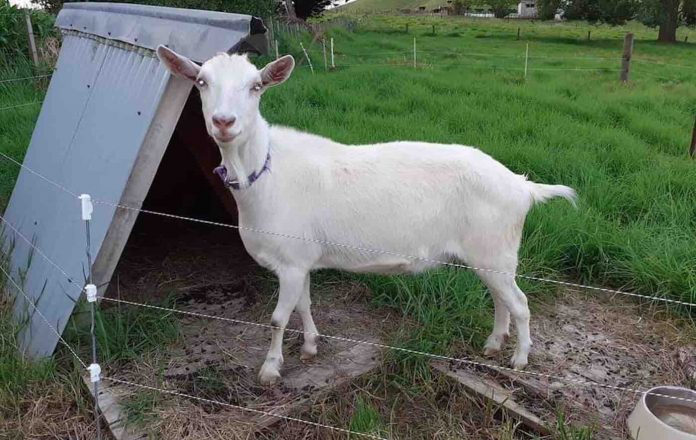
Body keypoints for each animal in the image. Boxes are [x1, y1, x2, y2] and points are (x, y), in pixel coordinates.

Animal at [156, 46, 577, 385]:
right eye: (200, 82)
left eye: (256, 86)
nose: (223, 122)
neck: (265, 173)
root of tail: (521, 186)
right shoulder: (300, 259)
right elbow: (304, 305)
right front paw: (310, 347)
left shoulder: (290, 262)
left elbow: (278, 317)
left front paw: (270, 369)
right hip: (490, 255)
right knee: (500, 299)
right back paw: (493, 344)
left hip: (496, 249)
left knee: (519, 303)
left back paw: (519, 359)